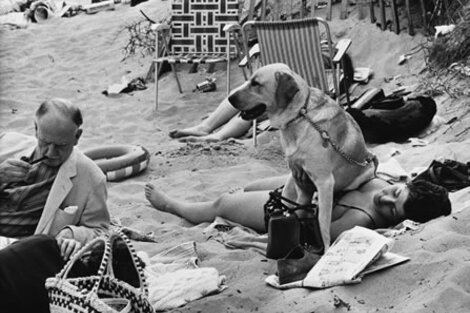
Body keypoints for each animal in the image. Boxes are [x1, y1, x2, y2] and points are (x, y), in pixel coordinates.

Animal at [227, 62, 374, 249]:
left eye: (256, 83)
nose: (229, 98)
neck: (300, 115)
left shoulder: (324, 182)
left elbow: (323, 223)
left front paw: (326, 250)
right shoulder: (298, 178)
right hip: (289, 185)